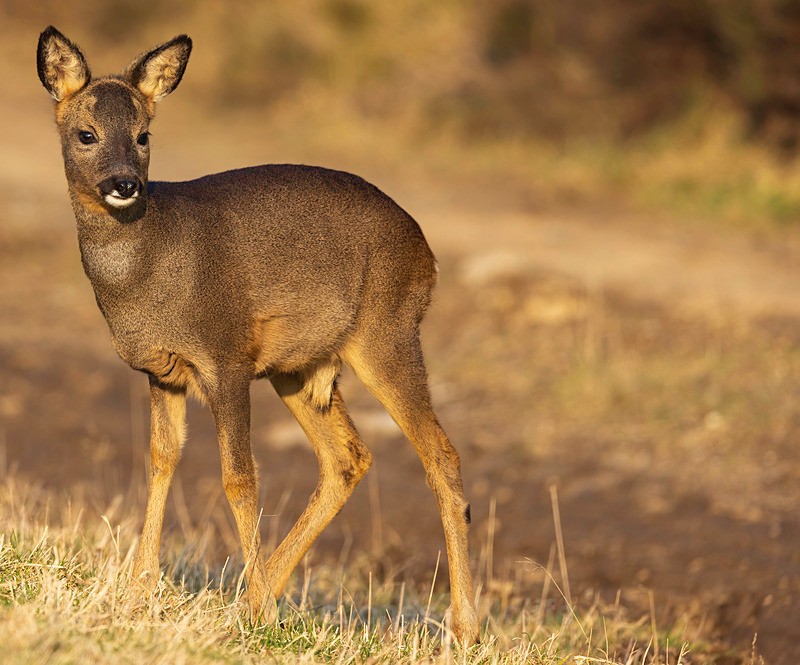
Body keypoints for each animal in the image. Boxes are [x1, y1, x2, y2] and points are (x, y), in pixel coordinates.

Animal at [36, 26, 479, 644]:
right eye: (86, 133)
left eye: (144, 135)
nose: (126, 184)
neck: (148, 264)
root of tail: (428, 254)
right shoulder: (162, 370)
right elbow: (160, 460)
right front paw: (139, 593)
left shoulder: (224, 359)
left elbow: (239, 479)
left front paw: (261, 618)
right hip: (299, 367)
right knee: (348, 457)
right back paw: (255, 596)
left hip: (386, 332)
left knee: (440, 453)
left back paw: (464, 628)